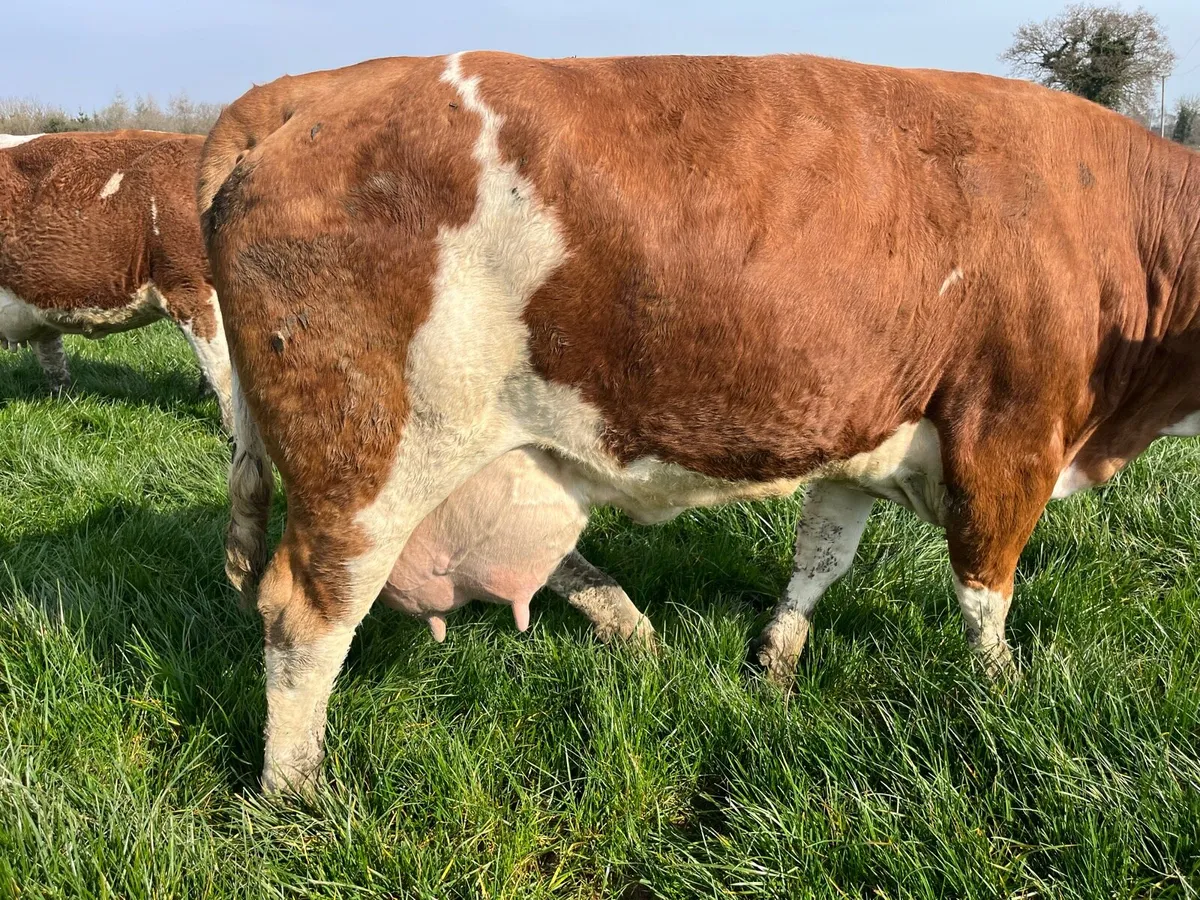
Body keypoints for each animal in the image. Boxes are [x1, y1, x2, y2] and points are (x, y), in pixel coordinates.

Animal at [198, 51, 1200, 793]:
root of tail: (311, 89)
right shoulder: (1010, 433)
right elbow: (985, 590)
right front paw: (1002, 694)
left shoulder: (856, 427)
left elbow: (821, 560)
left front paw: (774, 663)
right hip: (366, 453)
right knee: (306, 613)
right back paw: (297, 794)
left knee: (546, 553)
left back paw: (634, 632)